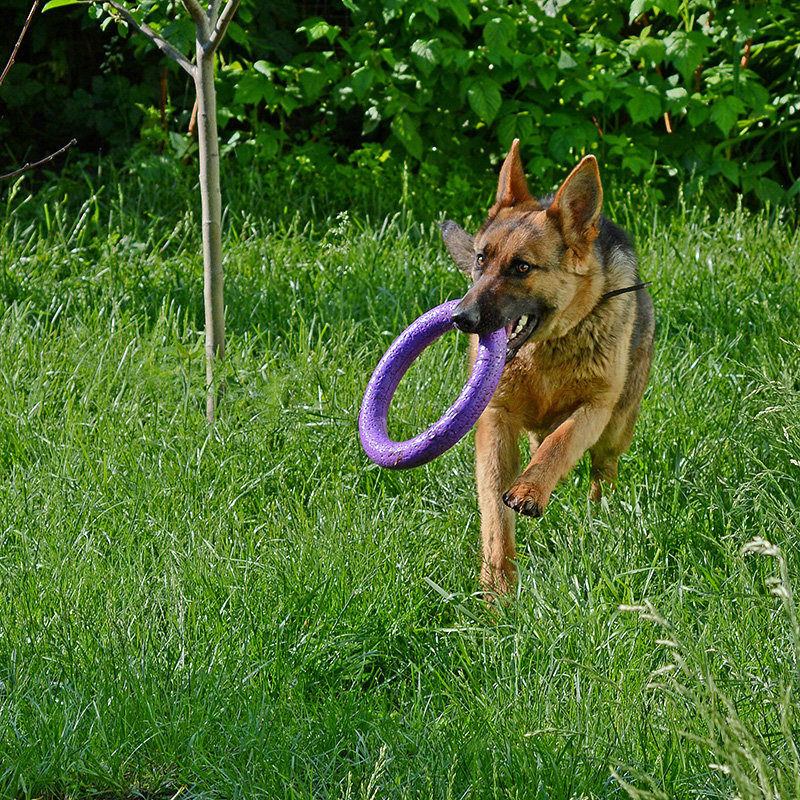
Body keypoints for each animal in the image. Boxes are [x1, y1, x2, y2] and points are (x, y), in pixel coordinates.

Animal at [440, 142, 652, 592]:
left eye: (522, 267)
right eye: (481, 259)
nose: (461, 318)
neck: (545, 353)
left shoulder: (595, 408)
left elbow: (561, 443)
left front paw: (531, 490)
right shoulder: (495, 420)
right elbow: (494, 511)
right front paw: (498, 586)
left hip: (618, 425)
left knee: (602, 467)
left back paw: (600, 516)